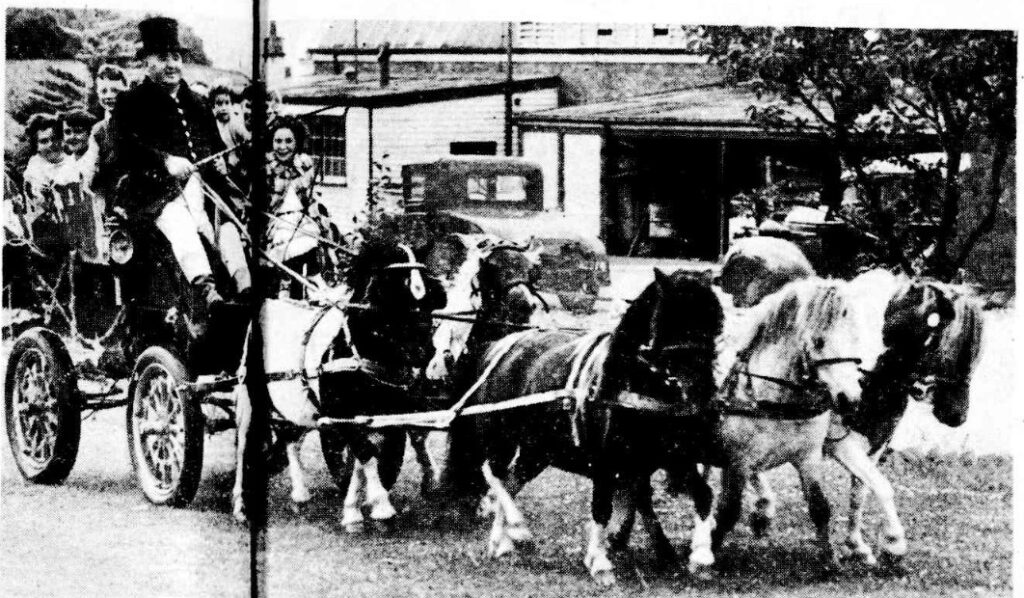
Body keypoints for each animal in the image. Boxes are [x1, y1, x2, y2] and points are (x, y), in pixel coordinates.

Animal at [234, 240, 446, 524]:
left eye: (430, 298)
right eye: (393, 293)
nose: (424, 351)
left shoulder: (379, 416)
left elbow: (364, 458)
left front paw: (354, 507)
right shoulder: (342, 416)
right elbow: (365, 453)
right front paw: (379, 506)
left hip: (300, 408)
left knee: (290, 438)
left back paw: (300, 492)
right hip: (250, 399)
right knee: (243, 446)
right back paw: (240, 504)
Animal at [440, 268, 720, 585]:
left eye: (714, 320)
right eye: (671, 315)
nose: (701, 385)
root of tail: (500, 347)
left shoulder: (675, 458)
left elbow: (703, 495)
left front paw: (701, 557)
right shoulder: (605, 463)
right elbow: (602, 508)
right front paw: (600, 563)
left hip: (537, 450)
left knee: (510, 481)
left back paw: (501, 542)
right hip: (501, 438)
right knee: (494, 474)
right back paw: (518, 528)